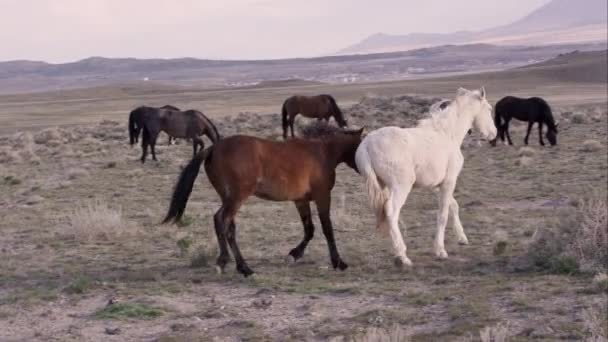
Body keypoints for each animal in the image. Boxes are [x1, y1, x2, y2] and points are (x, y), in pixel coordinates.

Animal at [162, 124, 364, 276]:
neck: (321, 152)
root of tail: (214, 148)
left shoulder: (301, 200)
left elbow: (309, 229)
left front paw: (294, 254)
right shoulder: (322, 196)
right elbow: (327, 229)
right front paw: (338, 262)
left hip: (227, 197)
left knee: (229, 227)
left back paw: (241, 266)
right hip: (237, 196)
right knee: (221, 220)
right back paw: (231, 264)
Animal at [354, 87, 496, 266]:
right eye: (489, 109)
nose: (493, 134)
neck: (447, 134)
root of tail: (366, 144)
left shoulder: (436, 186)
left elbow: (453, 206)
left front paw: (462, 238)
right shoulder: (449, 182)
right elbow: (442, 215)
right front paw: (440, 251)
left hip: (382, 186)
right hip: (401, 187)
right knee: (391, 211)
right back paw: (402, 255)